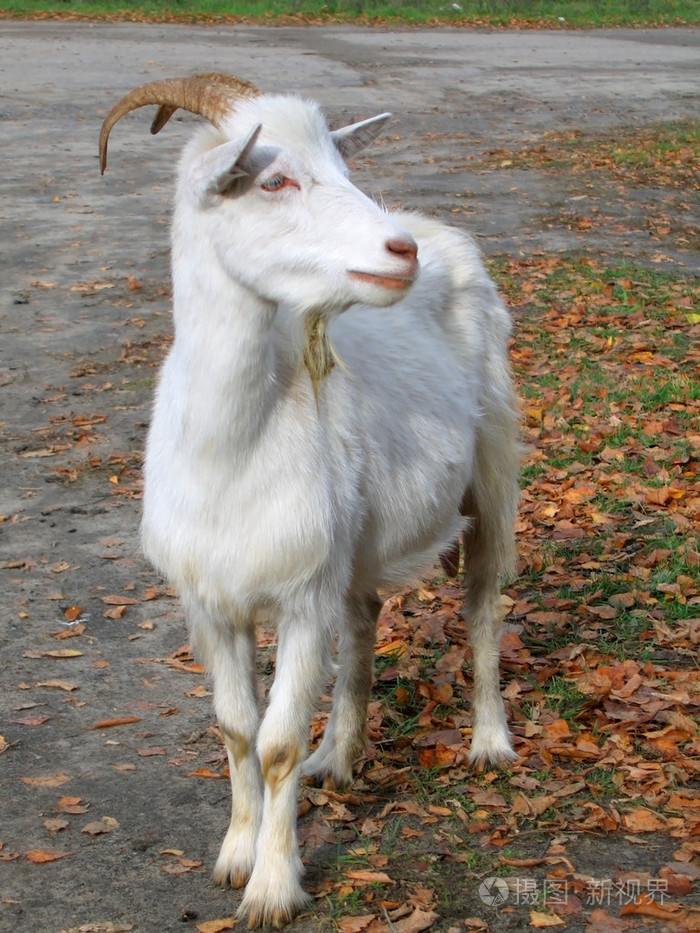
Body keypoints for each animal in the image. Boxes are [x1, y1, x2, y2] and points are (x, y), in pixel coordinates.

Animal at [101, 76, 524, 928]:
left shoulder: (301, 595)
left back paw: (489, 741)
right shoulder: (212, 599)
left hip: (492, 467)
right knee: (362, 626)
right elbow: (235, 729)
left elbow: (276, 743)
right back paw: (341, 754)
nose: (401, 250)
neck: (233, 449)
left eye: (341, 163)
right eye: (272, 180)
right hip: (355, 538)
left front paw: (271, 888)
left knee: (482, 605)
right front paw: (235, 854)